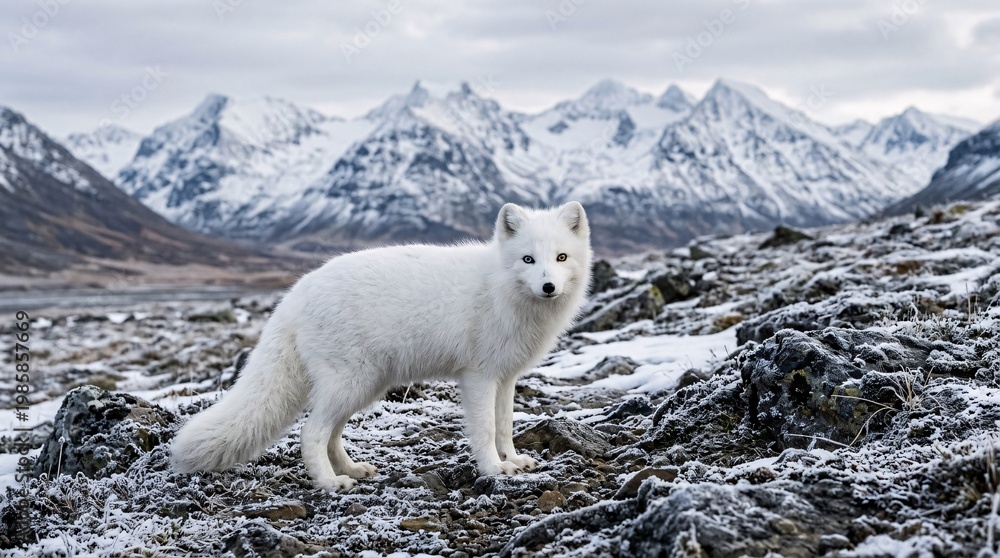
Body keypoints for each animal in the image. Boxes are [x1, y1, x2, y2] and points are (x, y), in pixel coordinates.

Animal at [170, 202, 593, 491]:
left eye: (561, 257)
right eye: (528, 259)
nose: (548, 287)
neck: (500, 288)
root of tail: (296, 292)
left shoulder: (505, 377)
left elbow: (505, 426)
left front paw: (514, 460)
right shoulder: (478, 377)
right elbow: (486, 429)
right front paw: (493, 469)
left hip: (363, 386)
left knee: (331, 434)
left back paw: (351, 469)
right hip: (351, 383)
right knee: (311, 433)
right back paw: (330, 483)